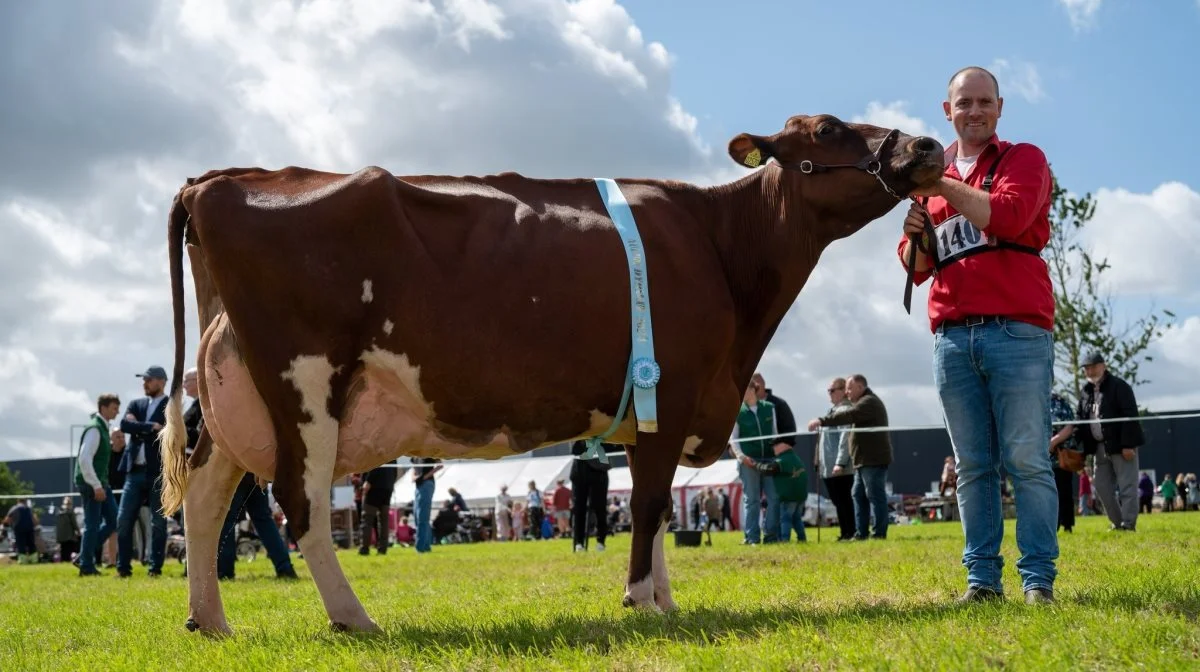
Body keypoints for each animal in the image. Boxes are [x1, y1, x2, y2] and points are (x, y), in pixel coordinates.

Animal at [162, 112, 945, 633]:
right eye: (828, 129)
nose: (929, 144)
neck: (719, 244)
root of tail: (218, 180)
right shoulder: (676, 388)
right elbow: (652, 503)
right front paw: (640, 603)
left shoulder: (657, 407)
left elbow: (659, 509)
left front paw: (666, 602)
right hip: (304, 384)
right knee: (301, 503)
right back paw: (354, 618)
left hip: (238, 390)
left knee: (205, 493)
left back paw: (209, 621)